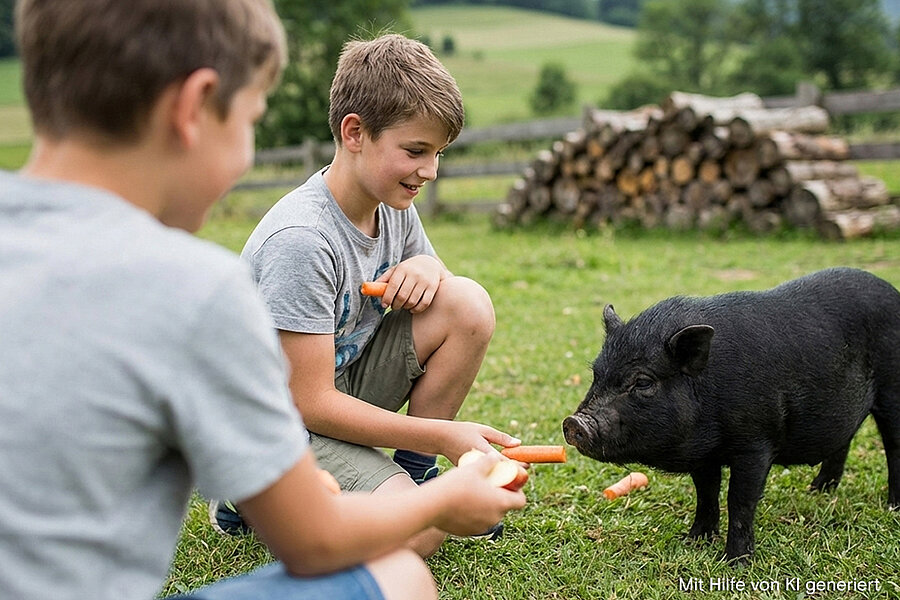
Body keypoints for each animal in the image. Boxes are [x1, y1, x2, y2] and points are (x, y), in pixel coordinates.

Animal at [562, 267, 900, 563]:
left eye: (643, 382)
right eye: (596, 374)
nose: (574, 423)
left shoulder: (756, 441)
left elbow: (739, 500)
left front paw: (735, 562)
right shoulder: (704, 453)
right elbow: (706, 493)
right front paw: (692, 541)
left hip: (891, 391)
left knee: (893, 446)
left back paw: (892, 506)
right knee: (844, 440)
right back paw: (818, 490)